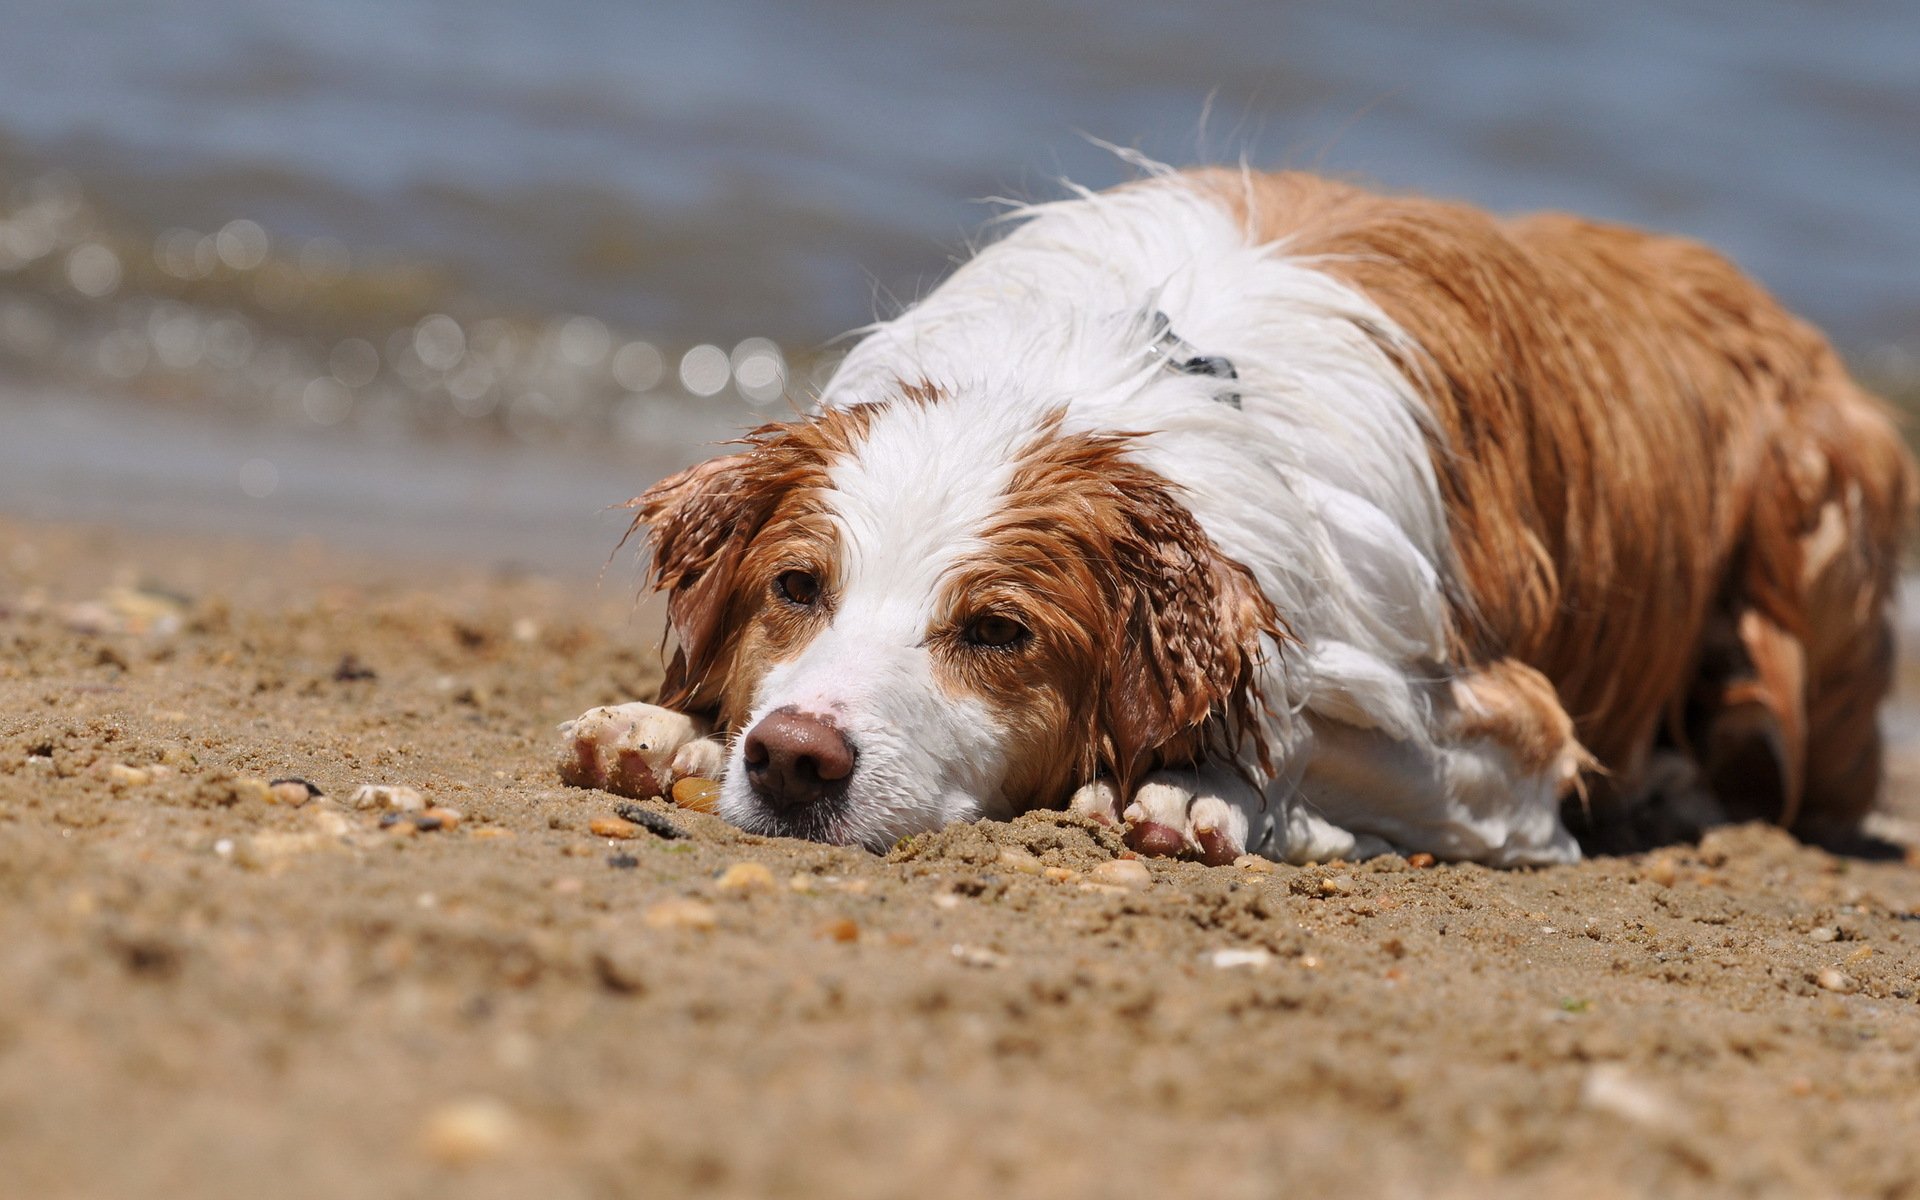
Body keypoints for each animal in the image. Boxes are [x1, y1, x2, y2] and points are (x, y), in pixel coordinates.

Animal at [552, 166, 1904, 860]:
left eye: (998, 632)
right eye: (796, 587)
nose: (795, 760)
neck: (1099, 384)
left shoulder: (1519, 737)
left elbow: (1301, 729)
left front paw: (1205, 793)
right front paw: (673, 732)